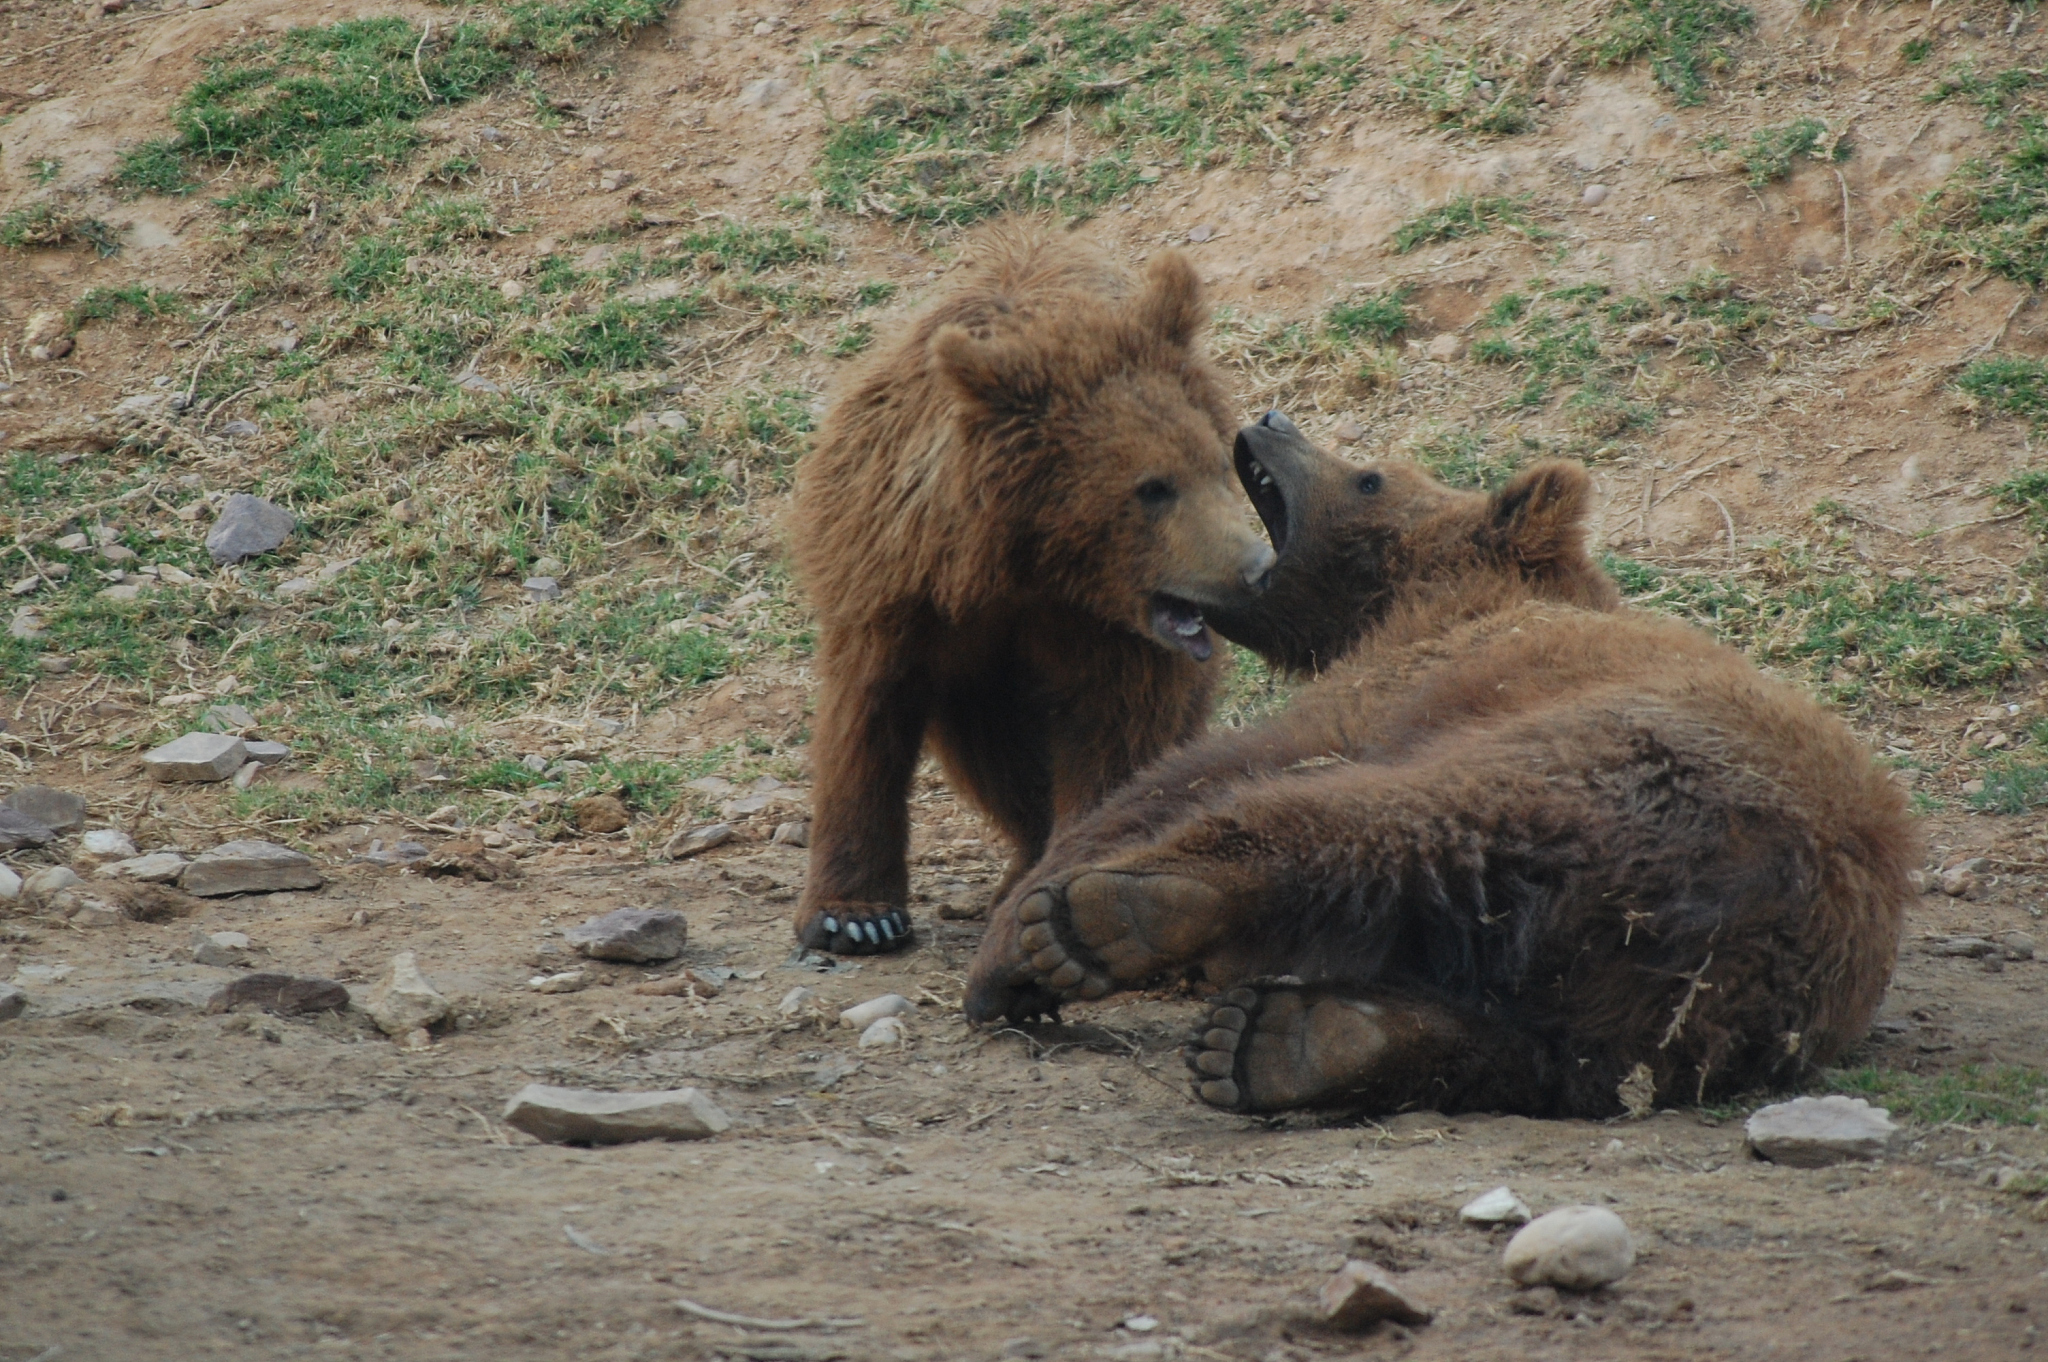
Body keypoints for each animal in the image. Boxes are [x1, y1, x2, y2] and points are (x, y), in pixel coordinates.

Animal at [787, 228, 1278, 955]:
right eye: (1152, 487)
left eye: (1219, 465)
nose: (1256, 568)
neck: (1029, 567)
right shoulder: (898, 589)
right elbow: (866, 720)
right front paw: (855, 915)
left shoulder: (1108, 635)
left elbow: (1116, 734)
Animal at [963, 413, 1917, 1119]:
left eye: (1370, 475)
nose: (1271, 420)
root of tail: (1770, 905)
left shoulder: (1406, 680)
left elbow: (1221, 764)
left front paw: (1020, 924)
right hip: (1671, 1009)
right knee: (1547, 1057)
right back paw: (1291, 1042)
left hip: (1609, 770)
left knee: (1383, 817)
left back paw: (1108, 920)